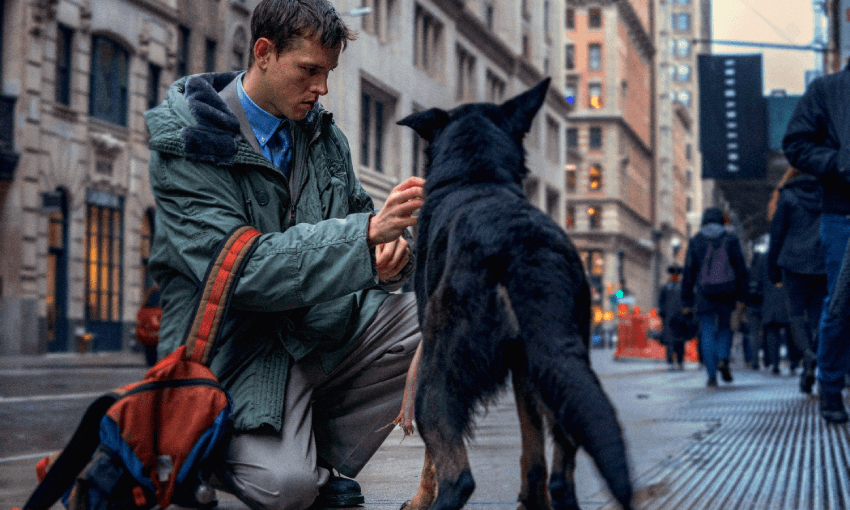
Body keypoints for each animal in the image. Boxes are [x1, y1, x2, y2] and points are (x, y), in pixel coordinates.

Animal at [396, 80, 628, 510]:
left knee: (459, 478)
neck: (477, 175)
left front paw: (418, 500)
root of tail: (521, 245)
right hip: (557, 366)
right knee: (559, 476)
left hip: (437, 378)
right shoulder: (524, 369)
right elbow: (531, 446)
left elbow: (429, 461)